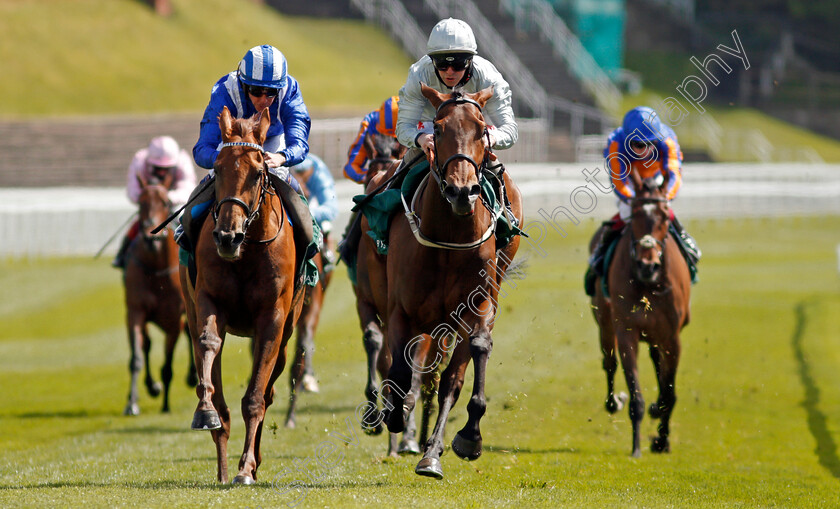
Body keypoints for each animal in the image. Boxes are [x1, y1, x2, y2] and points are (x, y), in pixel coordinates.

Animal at [121, 177, 195, 414]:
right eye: (141, 202)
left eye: (165, 202)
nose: (150, 238)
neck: (156, 269)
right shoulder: (135, 312)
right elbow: (136, 357)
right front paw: (132, 403)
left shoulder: (173, 319)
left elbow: (168, 366)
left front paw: (166, 406)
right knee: (147, 344)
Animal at [180, 105, 306, 482]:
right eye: (218, 168)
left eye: (257, 172)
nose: (227, 237)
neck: (247, 251)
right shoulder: (208, 300)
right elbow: (209, 345)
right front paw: (205, 413)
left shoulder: (273, 318)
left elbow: (256, 397)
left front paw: (247, 466)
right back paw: (222, 465)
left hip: (289, 328)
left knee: (269, 389)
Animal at [382, 83, 524, 476]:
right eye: (439, 128)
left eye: (481, 130)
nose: (462, 191)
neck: (449, 237)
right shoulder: (402, 309)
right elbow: (400, 369)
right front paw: (395, 413)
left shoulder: (478, 304)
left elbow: (473, 355)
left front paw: (468, 438)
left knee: (451, 379)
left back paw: (433, 452)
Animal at [588, 171, 692, 456]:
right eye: (634, 215)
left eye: (664, 216)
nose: (648, 265)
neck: (650, 283)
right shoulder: (627, 332)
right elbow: (635, 393)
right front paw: (636, 446)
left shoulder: (672, 338)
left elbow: (669, 392)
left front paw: (662, 440)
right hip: (604, 322)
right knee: (609, 363)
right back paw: (614, 401)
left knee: (658, 364)